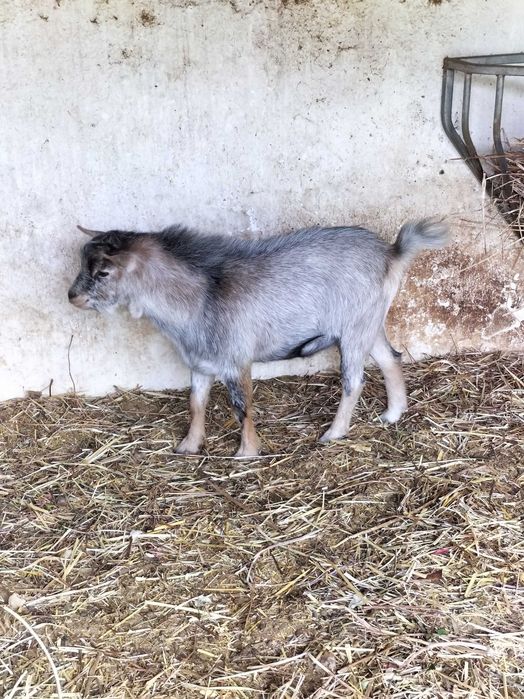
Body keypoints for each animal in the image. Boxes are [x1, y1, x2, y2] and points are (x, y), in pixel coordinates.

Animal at [68, 219, 449, 456]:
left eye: (103, 272)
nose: (72, 297)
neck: (202, 295)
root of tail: (392, 253)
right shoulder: (200, 362)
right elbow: (195, 403)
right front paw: (189, 446)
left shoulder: (236, 360)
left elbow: (243, 408)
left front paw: (246, 452)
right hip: (369, 324)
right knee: (390, 359)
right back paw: (392, 414)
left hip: (354, 328)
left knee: (353, 380)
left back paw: (333, 433)